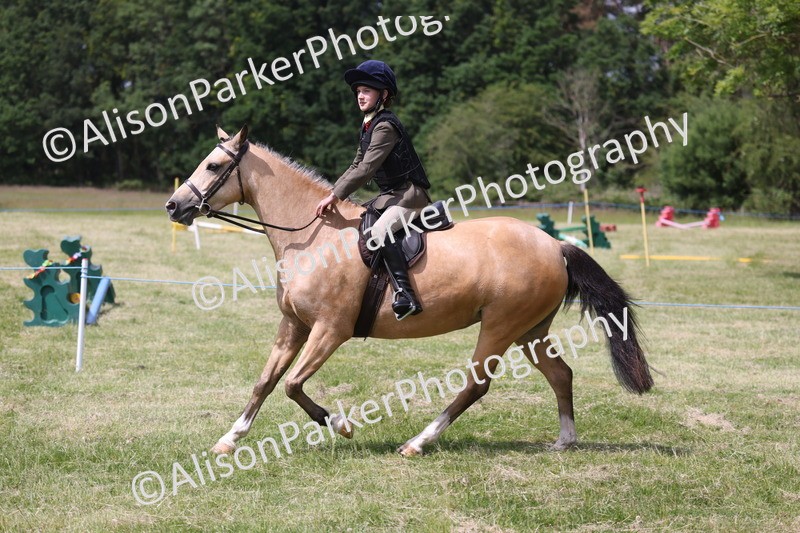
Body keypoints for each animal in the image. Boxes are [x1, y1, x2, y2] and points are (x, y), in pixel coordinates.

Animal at [165, 125, 653, 457]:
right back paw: (564, 441)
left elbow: (293, 385)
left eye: (213, 166)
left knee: (476, 385)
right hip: (529, 331)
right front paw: (229, 439)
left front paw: (341, 425)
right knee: (560, 374)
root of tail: (554, 245)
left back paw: (417, 443)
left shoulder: (330, 329)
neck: (313, 236)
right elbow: (266, 382)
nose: (174, 205)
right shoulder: (294, 325)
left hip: (499, 327)